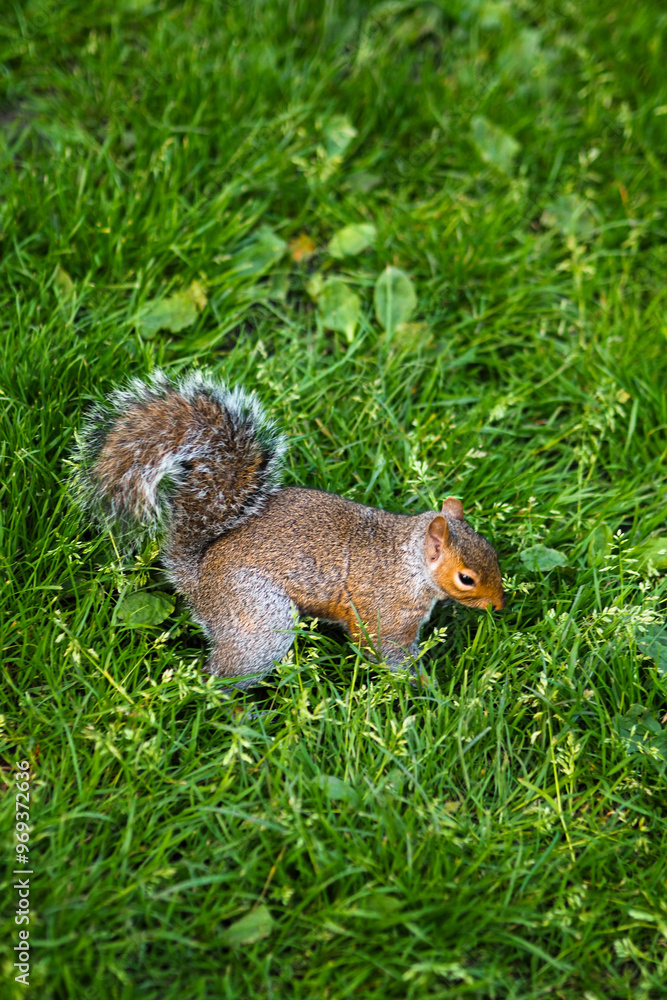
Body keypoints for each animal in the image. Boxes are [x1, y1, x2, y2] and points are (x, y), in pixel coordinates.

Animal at [71, 370, 506, 688]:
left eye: (492, 551)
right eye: (466, 578)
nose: (500, 606)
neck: (410, 565)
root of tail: (197, 577)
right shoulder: (385, 615)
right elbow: (385, 653)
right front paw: (431, 690)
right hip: (261, 619)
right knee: (222, 675)